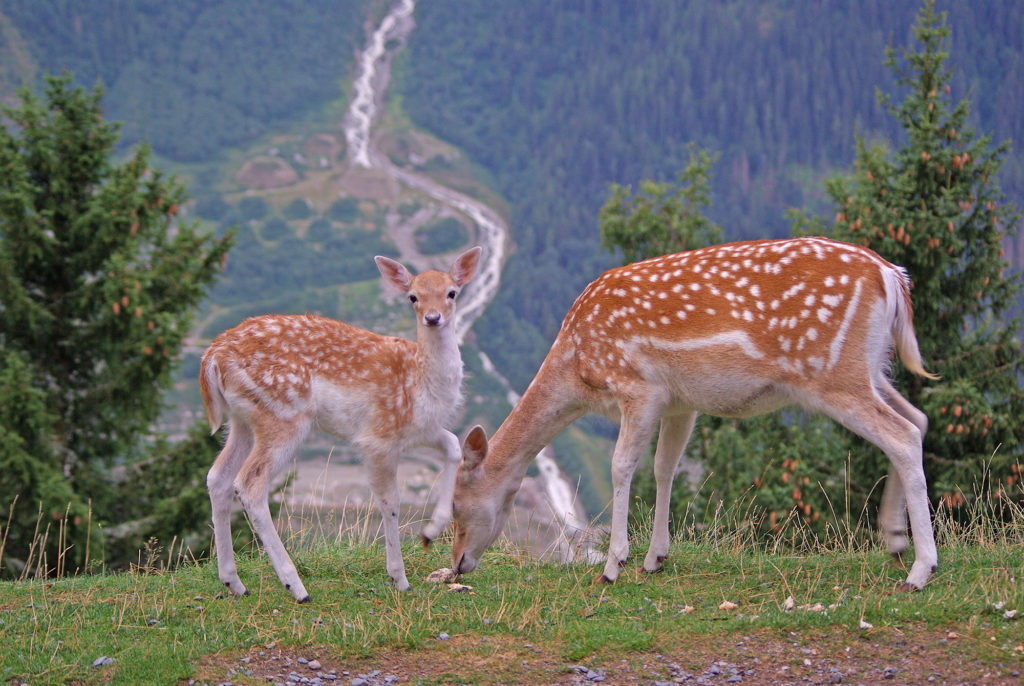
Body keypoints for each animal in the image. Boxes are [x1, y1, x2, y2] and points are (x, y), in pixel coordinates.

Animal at [205, 247, 485, 602]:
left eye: (452, 292)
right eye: (413, 296)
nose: (433, 318)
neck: (422, 382)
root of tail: (212, 359)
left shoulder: (417, 430)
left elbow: (452, 444)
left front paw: (431, 531)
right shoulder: (378, 436)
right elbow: (390, 501)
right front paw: (399, 577)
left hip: (242, 420)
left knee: (218, 477)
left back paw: (234, 582)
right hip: (283, 414)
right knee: (250, 484)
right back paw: (296, 587)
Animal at [452, 236, 937, 589]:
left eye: (456, 504)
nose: (457, 563)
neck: (577, 367)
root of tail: (892, 278)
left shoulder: (638, 388)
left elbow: (622, 465)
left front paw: (613, 564)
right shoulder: (679, 404)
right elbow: (664, 467)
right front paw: (655, 557)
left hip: (835, 374)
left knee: (902, 434)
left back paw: (920, 570)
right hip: (871, 368)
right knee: (918, 418)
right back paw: (895, 540)